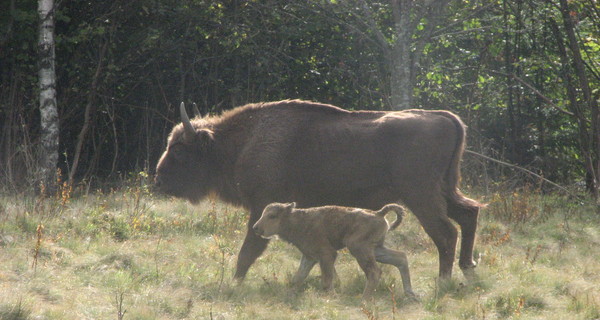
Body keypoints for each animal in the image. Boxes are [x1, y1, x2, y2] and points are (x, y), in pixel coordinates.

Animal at [155, 100, 482, 282]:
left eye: (180, 150)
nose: (158, 179)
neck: (241, 142)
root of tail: (444, 117)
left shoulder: (261, 209)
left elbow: (248, 251)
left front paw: (235, 283)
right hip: (444, 191)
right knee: (469, 214)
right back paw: (467, 268)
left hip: (422, 196)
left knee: (445, 233)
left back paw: (443, 281)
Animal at [251, 202, 414, 300]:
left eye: (272, 216)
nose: (256, 228)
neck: (296, 220)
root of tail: (378, 213)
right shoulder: (309, 257)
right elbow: (297, 278)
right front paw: (289, 295)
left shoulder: (327, 254)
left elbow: (327, 281)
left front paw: (332, 297)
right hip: (376, 249)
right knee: (400, 258)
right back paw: (411, 294)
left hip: (358, 248)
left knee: (374, 272)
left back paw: (363, 300)